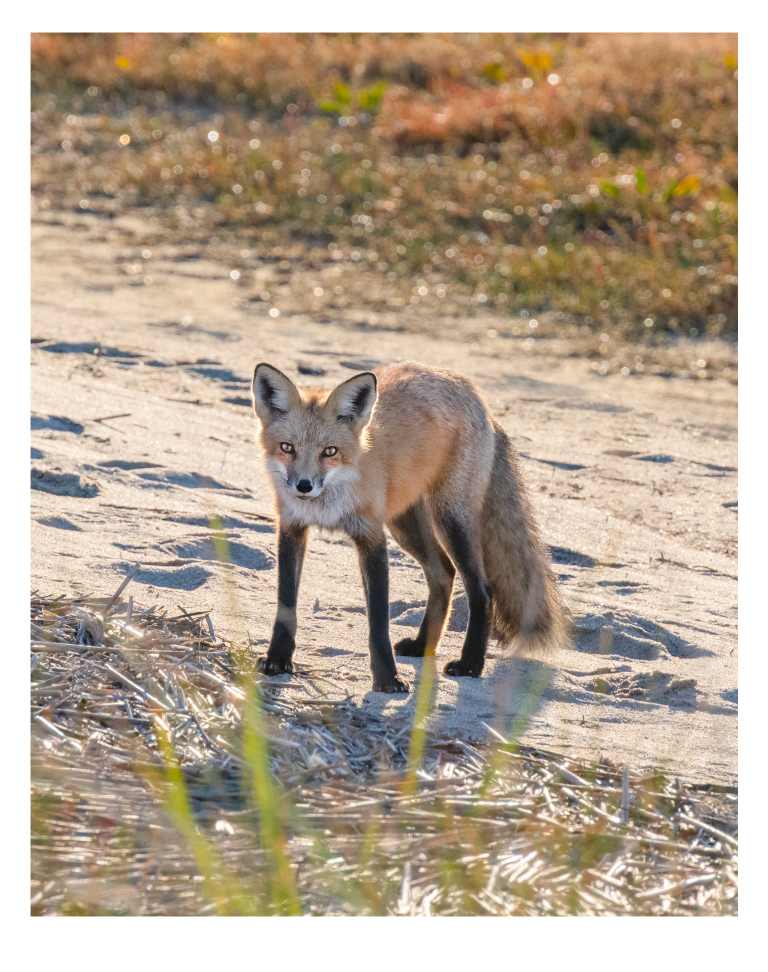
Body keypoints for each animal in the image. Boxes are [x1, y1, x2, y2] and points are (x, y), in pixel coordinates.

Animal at [251, 361, 566, 694]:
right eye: (287, 447)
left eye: (330, 451)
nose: (304, 486)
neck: (327, 503)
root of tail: (475, 396)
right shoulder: (291, 527)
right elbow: (286, 605)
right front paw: (278, 660)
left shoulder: (371, 537)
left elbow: (378, 623)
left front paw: (387, 680)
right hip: (406, 525)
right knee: (443, 575)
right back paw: (422, 645)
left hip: (450, 521)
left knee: (481, 589)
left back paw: (470, 664)